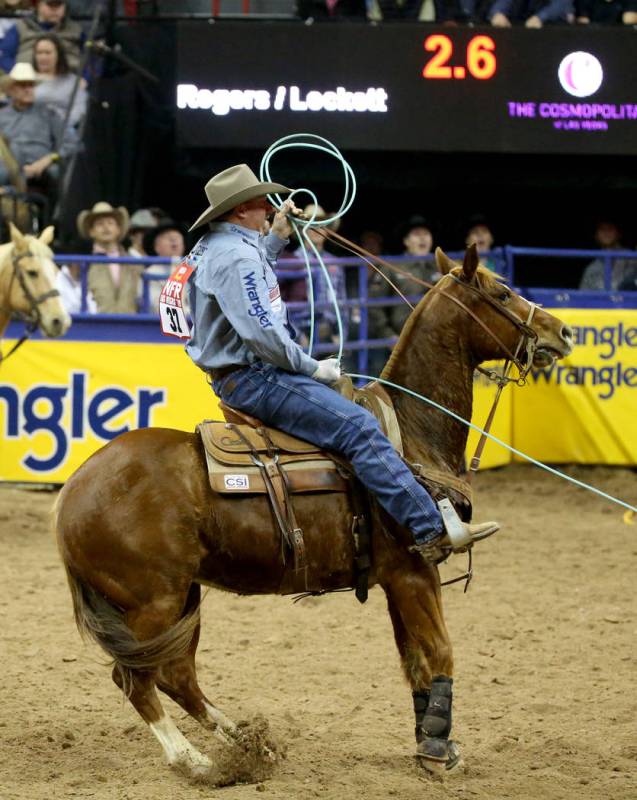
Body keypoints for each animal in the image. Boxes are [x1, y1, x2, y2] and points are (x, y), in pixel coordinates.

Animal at [53, 244, 572, 780]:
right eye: (502, 293)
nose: (562, 331)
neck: (411, 431)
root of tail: (70, 492)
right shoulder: (415, 572)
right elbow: (440, 652)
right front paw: (437, 749)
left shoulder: (397, 580)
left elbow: (416, 662)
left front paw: (431, 740)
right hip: (153, 602)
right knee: (136, 679)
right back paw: (193, 760)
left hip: (183, 598)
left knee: (176, 674)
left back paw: (248, 743)